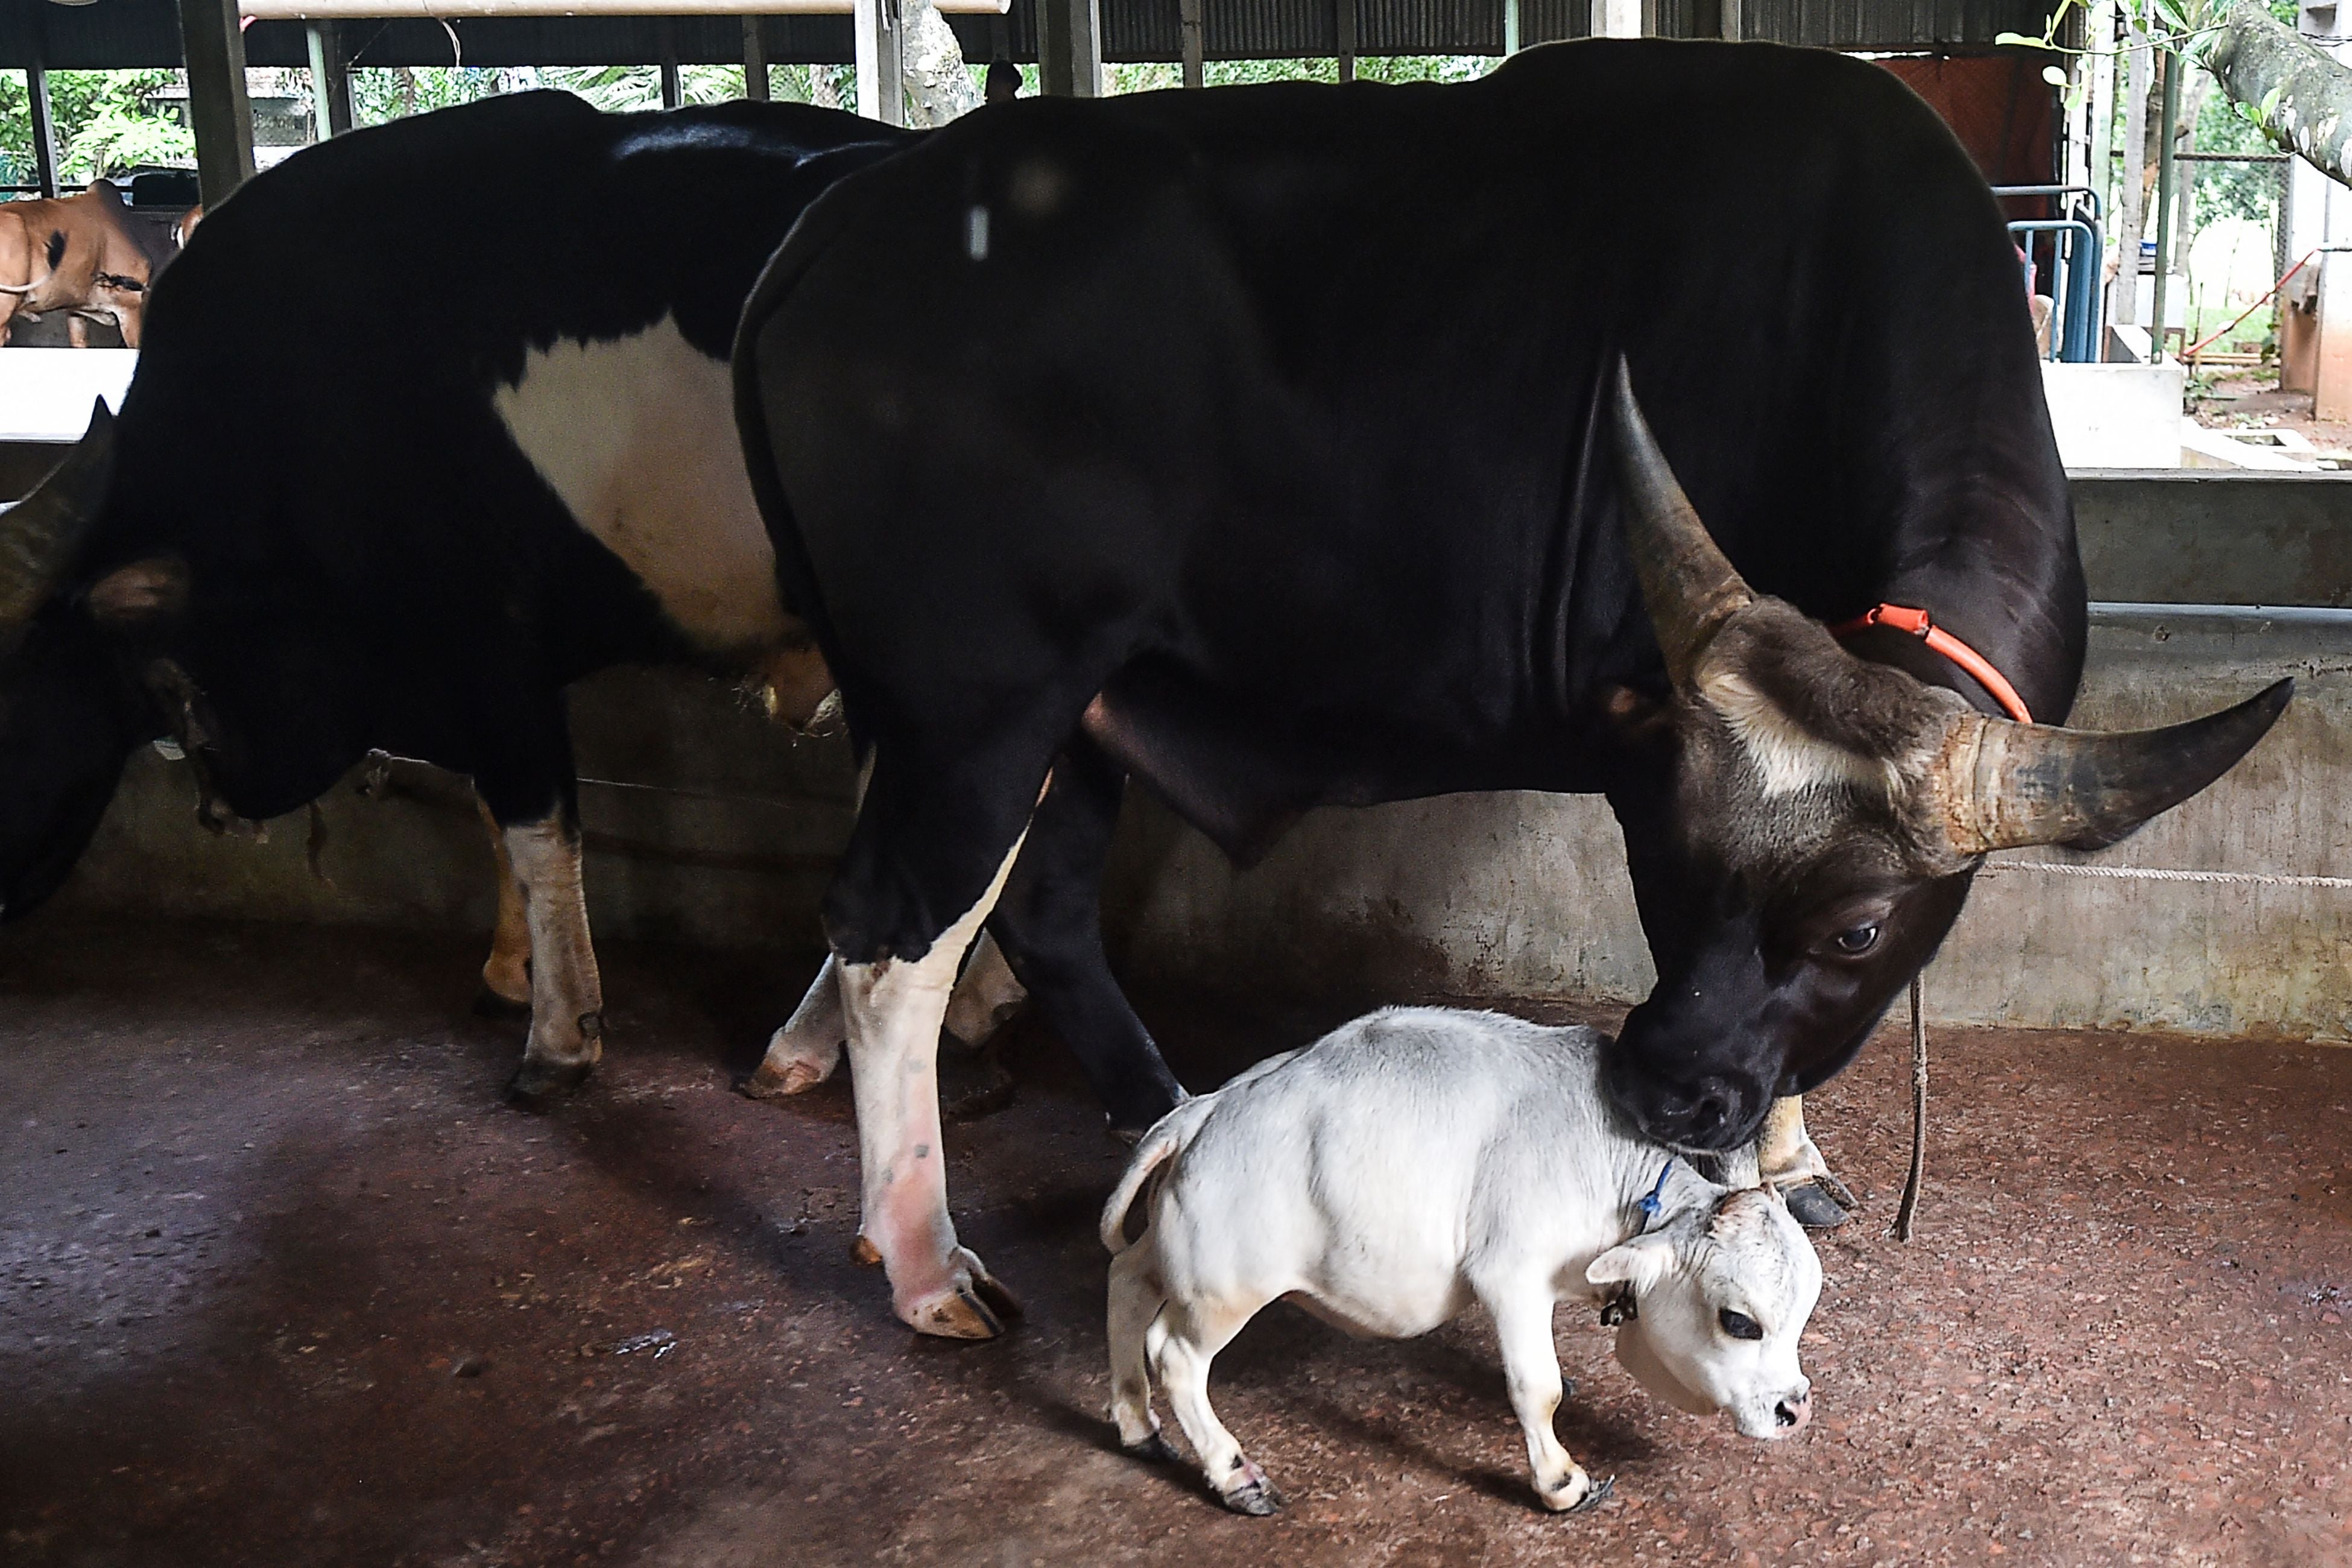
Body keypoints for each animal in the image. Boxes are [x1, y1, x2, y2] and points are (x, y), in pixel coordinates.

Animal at [733, 34, 2277, 1335]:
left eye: (1857, 927)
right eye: (1666, 866)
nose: (1658, 1087)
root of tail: (841, 218)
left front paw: (1790, 1149)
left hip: (1079, 711)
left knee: (1041, 915)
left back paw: (1170, 1111)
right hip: (978, 709)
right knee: (894, 937)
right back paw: (926, 1259)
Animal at [1091, 1011, 1825, 1514]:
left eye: (1800, 1317)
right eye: (1740, 1321)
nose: (1794, 1409)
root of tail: (1201, 1111)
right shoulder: (1512, 1274)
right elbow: (1538, 1386)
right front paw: (1560, 1480)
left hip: (1171, 1251)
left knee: (1126, 1281)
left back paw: (1136, 1422)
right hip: (1224, 1287)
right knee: (1175, 1355)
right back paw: (1234, 1474)